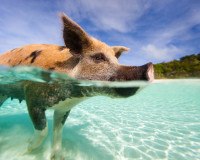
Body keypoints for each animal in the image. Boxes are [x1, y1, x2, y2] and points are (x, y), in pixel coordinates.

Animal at [0, 13, 154, 159]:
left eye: (117, 61)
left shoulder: (64, 108)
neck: (74, 95)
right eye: (98, 57)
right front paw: (25, 149)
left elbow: (58, 132)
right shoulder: (32, 98)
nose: (149, 66)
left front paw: (59, 157)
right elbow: (43, 131)